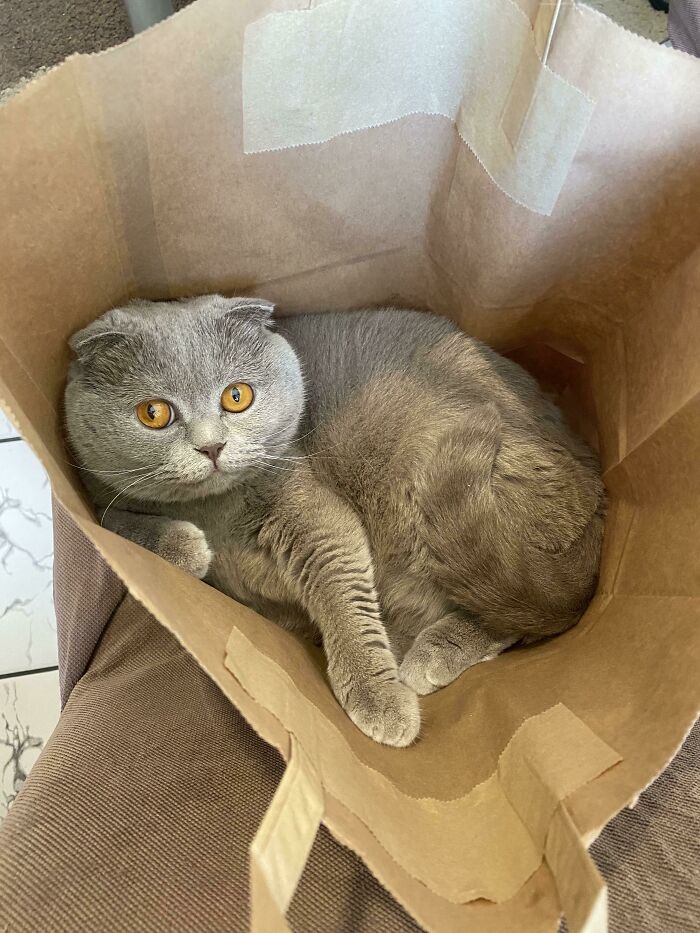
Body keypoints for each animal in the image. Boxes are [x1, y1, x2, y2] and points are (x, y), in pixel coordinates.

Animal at [63, 294, 604, 748]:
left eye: (237, 397)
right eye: (153, 413)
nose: (211, 447)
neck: (216, 511)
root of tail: (591, 471)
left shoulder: (313, 511)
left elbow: (341, 588)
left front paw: (378, 699)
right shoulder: (98, 493)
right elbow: (117, 522)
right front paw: (184, 545)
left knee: (521, 607)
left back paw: (428, 657)